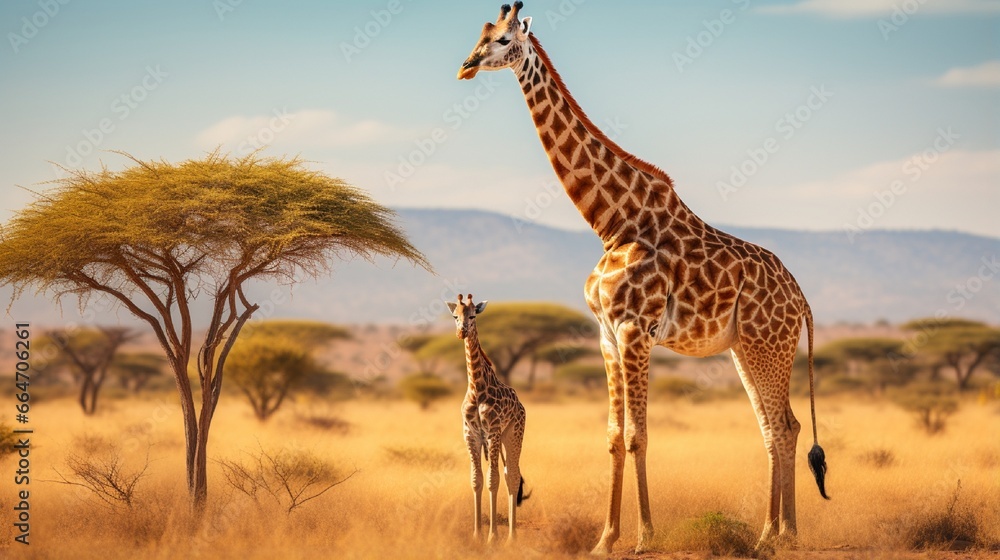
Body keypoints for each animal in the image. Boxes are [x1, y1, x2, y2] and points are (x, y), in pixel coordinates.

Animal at [447, 293, 528, 544]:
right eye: (455, 316)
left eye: (473, 315)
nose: (461, 332)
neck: (476, 388)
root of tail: (521, 405)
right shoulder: (470, 434)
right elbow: (477, 480)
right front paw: (477, 534)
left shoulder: (492, 432)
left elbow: (493, 480)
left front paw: (493, 536)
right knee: (509, 473)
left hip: (512, 433)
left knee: (512, 476)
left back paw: (512, 536)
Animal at [457, 3, 829, 554]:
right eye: (480, 34)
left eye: (503, 40)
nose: (466, 66)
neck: (613, 222)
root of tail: (801, 297)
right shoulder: (607, 335)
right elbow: (614, 435)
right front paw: (605, 538)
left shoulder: (636, 330)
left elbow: (639, 435)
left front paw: (644, 537)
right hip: (746, 348)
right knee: (777, 426)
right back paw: (779, 532)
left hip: (769, 344)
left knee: (783, 426)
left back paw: (776, 535)